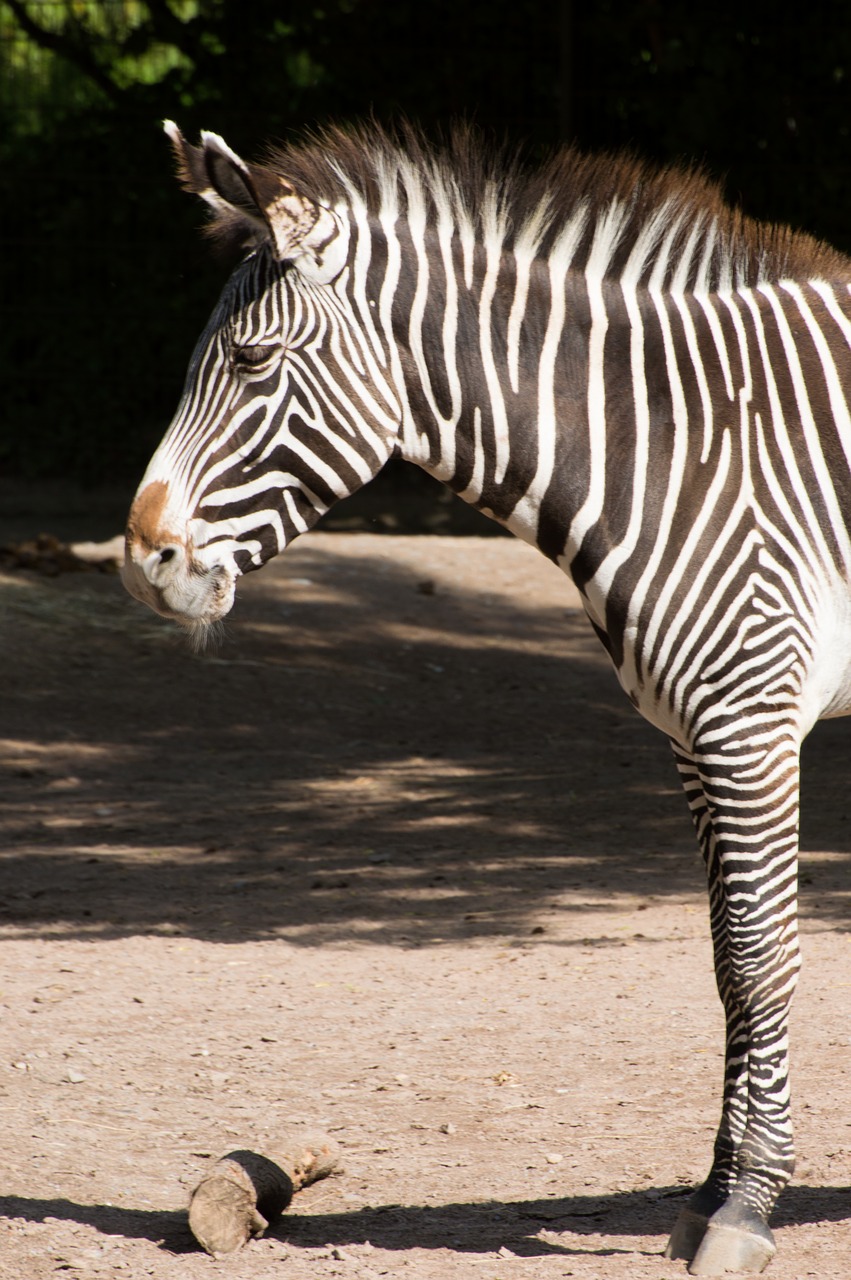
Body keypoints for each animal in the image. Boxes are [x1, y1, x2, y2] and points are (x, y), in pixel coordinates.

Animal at [120, 120, 851, 1269]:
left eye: (250, 361)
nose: (140, 561)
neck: (684, 447)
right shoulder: (690, 734)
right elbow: (723, 963)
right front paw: (709, 1191)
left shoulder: (749, 720)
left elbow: (758, 954)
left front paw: (743, 1205)